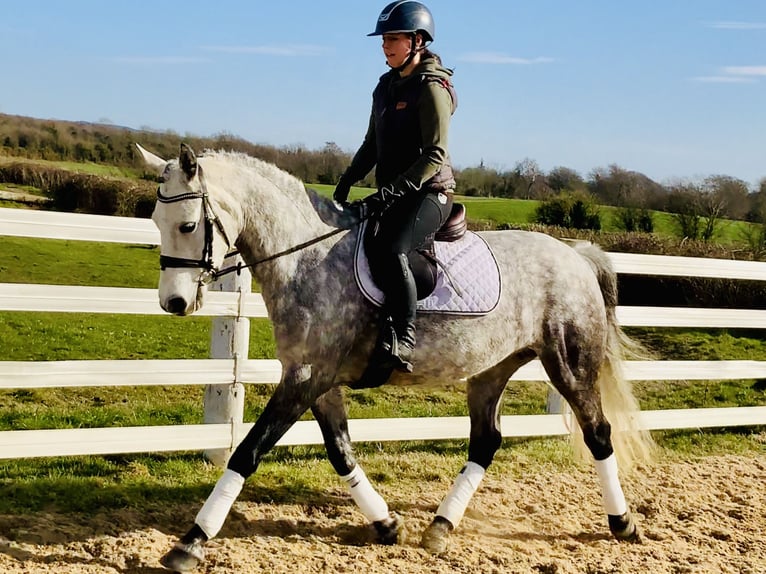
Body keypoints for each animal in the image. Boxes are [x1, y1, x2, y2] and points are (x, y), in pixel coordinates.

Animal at [138, 143, 656, 572]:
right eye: (157, 223)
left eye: (188, 225)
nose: (174, 303)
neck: (308, 259)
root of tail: (575, 254)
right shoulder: (316, 379)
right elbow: (341, 452)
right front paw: (387, 525)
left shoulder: (306, 377)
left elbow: (248, 452)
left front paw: (191, 541)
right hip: (491, 370)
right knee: (486, 442)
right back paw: (439, 529)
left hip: (570, 364)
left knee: (598, 433)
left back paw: (623, 523)